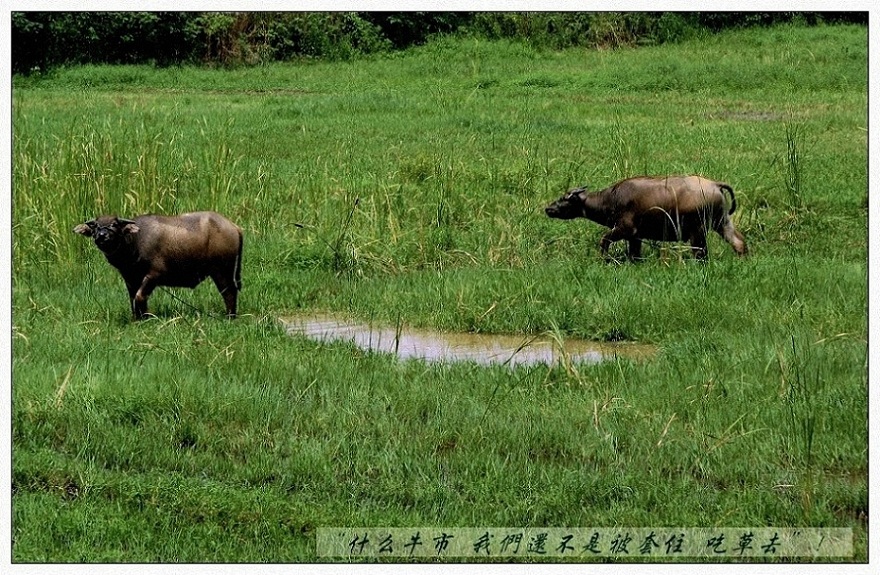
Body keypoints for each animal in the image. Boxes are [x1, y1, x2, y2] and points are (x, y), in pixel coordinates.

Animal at [72, 212, 242, 320]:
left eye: (114, 224)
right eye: (95, 226)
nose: (102, 236)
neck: (134, 243)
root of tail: (235, 227)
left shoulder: (154, 275)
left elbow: (140, 296)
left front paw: (146, 317)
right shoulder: (130, 278)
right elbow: (133, 298)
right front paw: (138, 318)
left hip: (222, 270)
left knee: (229, 292)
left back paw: (230, 316)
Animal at [548, 176, 744, 260]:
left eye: (564, 198)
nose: (548, 208)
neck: (611, 199)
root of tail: (715, 184)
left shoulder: (625, 229)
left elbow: (604, 240)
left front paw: (604, 259)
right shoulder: (636, 237)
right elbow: (635, 255)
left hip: (698, 231)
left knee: (701, 253)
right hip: (722, 222)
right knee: (739, 242)